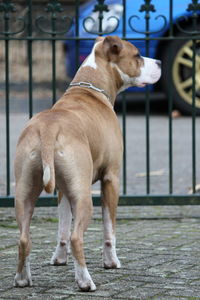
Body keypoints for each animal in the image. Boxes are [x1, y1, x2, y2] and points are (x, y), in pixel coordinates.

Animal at [13, 35, 161, 290]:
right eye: (137, 55)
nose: (160, 62)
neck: (90, 87)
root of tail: (48, 128)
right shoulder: (111, 178)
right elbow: (109, 229)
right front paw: (111, 262)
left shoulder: (63, 189)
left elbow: (62, 227)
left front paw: (58, 259)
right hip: (84, 197)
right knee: (76, 238)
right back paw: (85, 281)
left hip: (24, 193)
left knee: (24, 238)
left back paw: (22, 278)